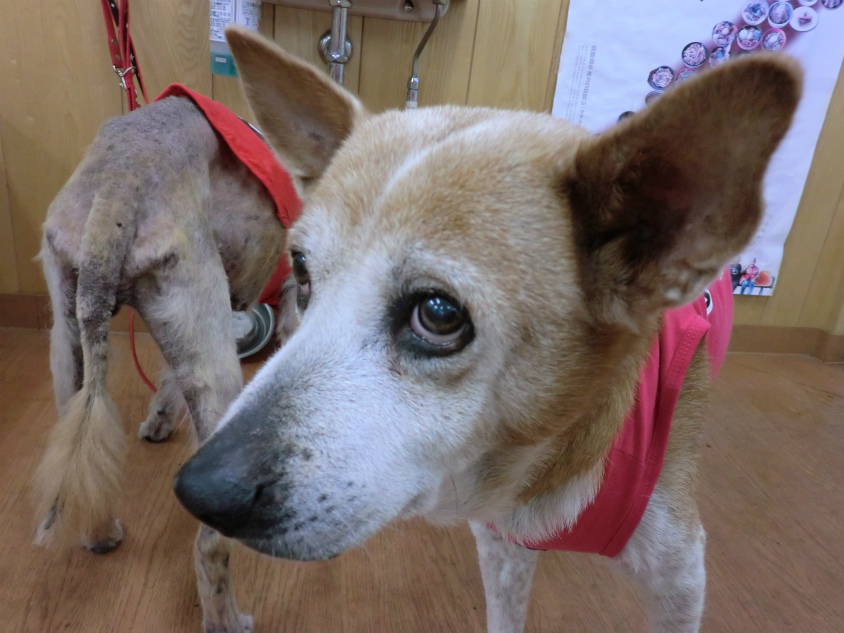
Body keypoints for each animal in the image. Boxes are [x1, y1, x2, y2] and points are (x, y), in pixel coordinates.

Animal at [33, 89, 300, 632]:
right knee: (210, 546)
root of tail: (117, 188)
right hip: (212, 347)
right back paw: (228, 619)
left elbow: (167, 383)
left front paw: (158, 422)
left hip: (71, 343)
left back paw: (100, 534)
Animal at [173, 27, 801, 633]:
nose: (199, 493)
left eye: (439, 314)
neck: (554, 462)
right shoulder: (502, 547)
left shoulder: (679, 578)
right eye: (301, 271)